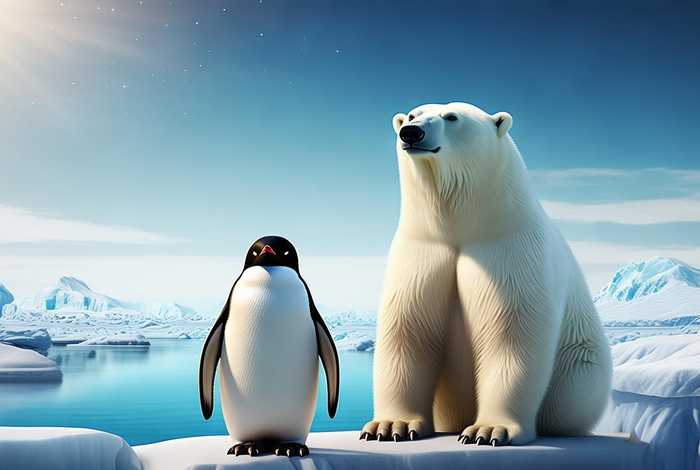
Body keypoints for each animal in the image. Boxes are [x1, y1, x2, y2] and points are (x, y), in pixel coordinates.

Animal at [360, 102, 612, 446]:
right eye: (412, 115)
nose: (411, 133)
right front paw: (389, 426)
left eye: (452, 117)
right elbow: (407, 332)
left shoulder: (511, 255)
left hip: (580, 363)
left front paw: (491, 430)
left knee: (573, 398)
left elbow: (511, 337)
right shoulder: (421, 255)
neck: (465, 226)